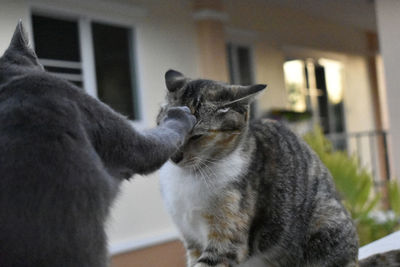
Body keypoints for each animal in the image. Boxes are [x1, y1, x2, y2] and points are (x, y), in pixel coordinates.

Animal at [159, 70, 400, 266]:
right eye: (168, 125)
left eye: (197, 135)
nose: (175, 156)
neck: (190, 178)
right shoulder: (192, 239)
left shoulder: (227, 238)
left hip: (326, 221)